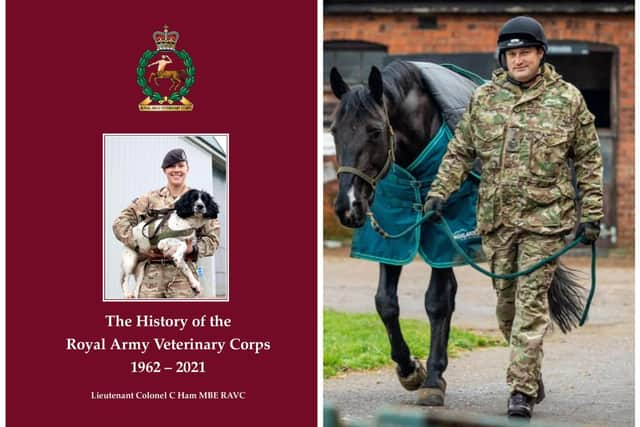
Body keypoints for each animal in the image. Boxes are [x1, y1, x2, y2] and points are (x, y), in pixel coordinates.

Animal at [330, 59, 584, 404]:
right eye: (333, 130)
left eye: (375, 130)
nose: (349, 206)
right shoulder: (395, 237)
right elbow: (386, 303)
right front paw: (410, 369)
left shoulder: (443, 237)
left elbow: (437, 302)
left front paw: (433, 380)